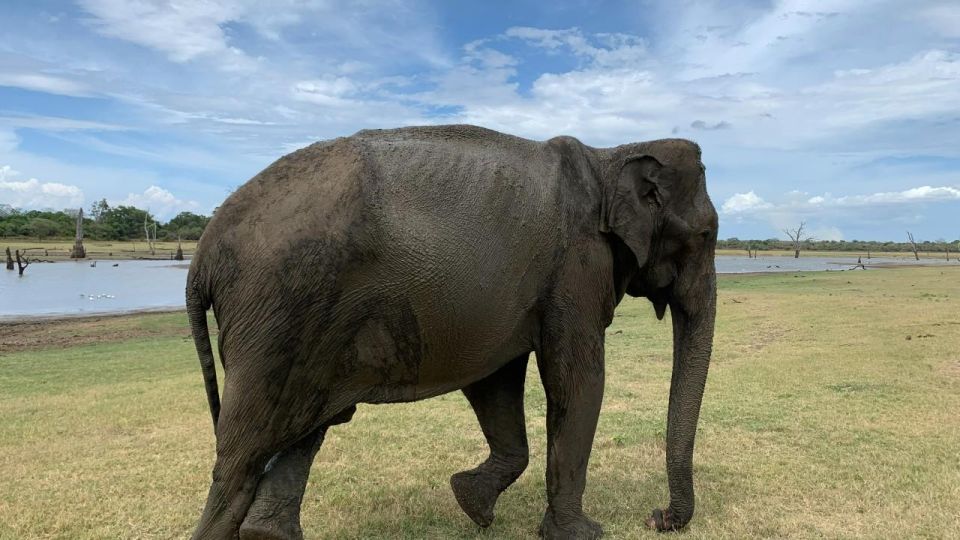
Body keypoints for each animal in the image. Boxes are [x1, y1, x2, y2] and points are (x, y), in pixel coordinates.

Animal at [188, 123, 716, 540]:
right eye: (707, 235)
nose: (656, 517)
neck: (611, 155)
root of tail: (202, 255)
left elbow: (496, 382)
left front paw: (471, 503)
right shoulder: (576, 268)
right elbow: (578, 381)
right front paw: (580, 533)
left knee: (306, 429)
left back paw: (266, 532)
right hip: (278, 311)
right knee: (242, 457)